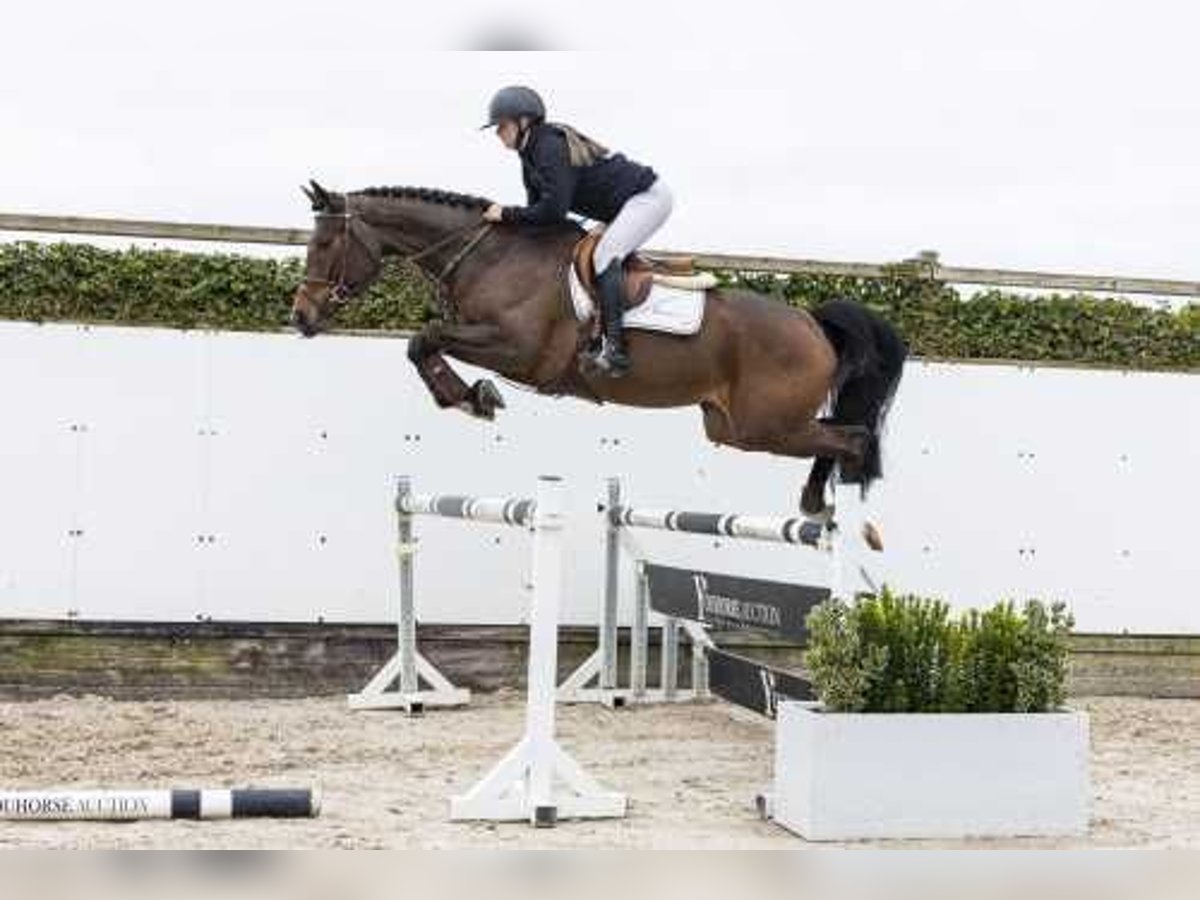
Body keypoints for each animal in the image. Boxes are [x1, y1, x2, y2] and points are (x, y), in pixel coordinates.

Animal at [290, 180, 902, 547]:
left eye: (323, 246)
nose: (301, 317)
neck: (491, 255)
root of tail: (812, 322)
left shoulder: (518, 351)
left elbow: (423, 339)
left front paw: (471, 397)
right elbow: (422, 343)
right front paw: (468, 397)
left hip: (765, 425)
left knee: (852, 438)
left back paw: (842, 517)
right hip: (731, 426)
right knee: (838, 435)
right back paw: (819, 507)